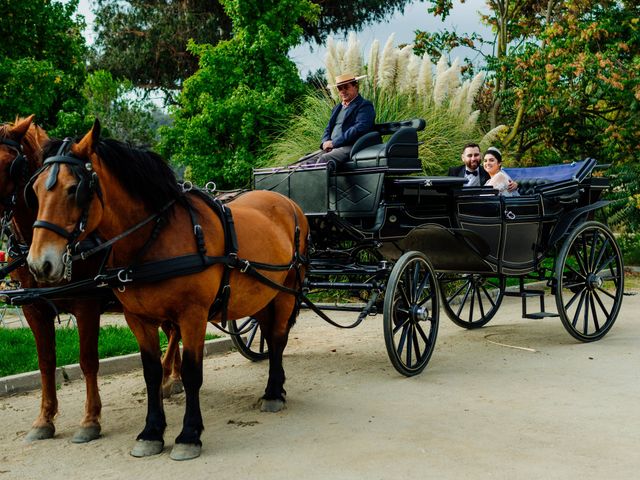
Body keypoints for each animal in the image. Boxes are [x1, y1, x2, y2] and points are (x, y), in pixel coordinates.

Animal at [0, 115, 182, 442]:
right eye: (34, 189)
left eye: (9, 164)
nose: (41, 263)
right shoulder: (33, 309)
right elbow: (46, 362)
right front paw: (44, 420)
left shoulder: (86, 303)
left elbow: (87, 360)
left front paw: (90, 420)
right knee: (174, 329)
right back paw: (173, 376)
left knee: (175, 331)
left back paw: (169, 377)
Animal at [26, 121, 312, 462]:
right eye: (34, 190)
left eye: (74, 189)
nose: (39, 264)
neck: (154, 237)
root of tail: (288, 203)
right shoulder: (137, 318)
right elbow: (150, 372)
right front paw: (151, 432)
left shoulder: (193, 315)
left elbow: (191, 372)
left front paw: (189, 435)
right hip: (262, 293)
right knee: (268, 334)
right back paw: (275, 387)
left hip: (286, 291)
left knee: (278, 338)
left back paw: (273, 392)